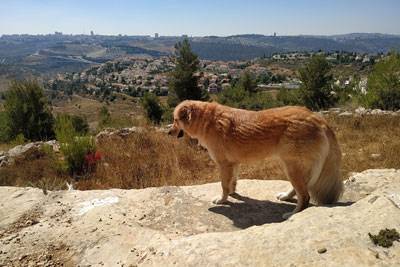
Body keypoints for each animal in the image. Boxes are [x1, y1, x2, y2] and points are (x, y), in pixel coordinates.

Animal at [169, 100, 344, 220]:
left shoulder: (224, 164)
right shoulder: (233, 164)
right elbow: (232, 182)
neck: (207, 120)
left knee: (305, 196)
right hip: (292, 166)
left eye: (176, 120)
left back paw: (292, 214)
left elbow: (224, 185)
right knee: (302, 189)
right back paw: (286, 197)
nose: (168, 132)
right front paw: (233, 193)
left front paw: (222, 200)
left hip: (291, 167)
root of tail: (318, 119)